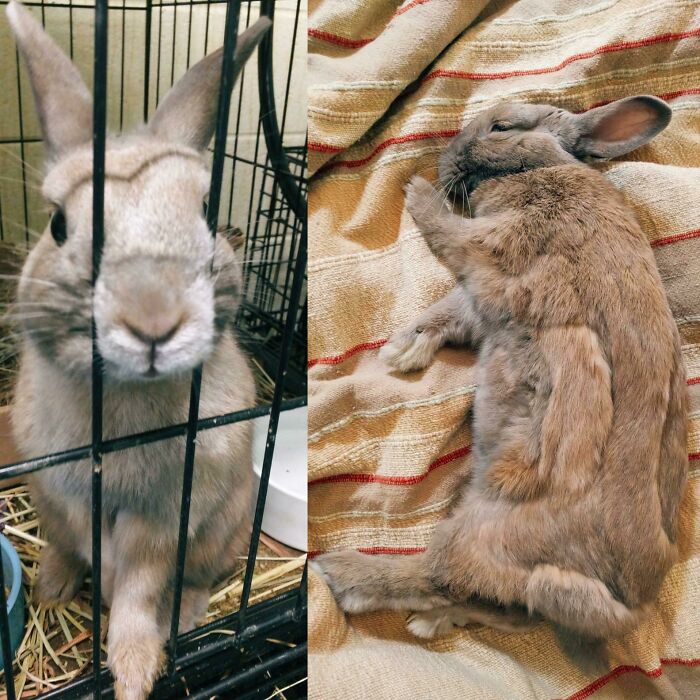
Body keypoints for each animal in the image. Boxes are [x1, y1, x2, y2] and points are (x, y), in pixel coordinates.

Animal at [5, 2, 271, 698]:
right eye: (58, 224)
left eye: (205, 213)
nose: (153, 321)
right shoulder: (70, 496)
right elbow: (93, 550)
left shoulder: (162, 519)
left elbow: (137, 585)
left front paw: (130, 672)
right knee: (67, 548)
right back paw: (52, 587)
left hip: (221, 525)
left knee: (196, 577)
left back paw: (186, 617)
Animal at [312, 96, 688, 642]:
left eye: (501, 127)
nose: (443, 160)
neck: (542, 167)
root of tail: (623, 604)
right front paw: (407, 349)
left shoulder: (491, 254)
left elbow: (448, 254)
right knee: (500, 607)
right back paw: (432, 620)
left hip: (479, 531)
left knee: (436, 574)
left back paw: (342, 572)